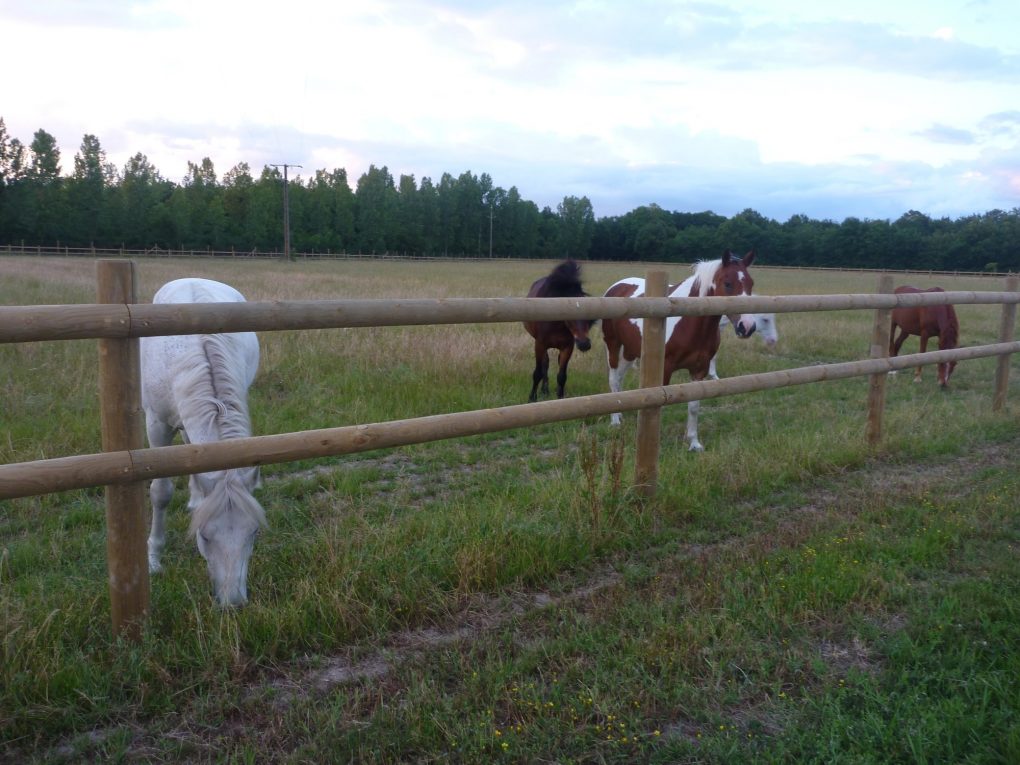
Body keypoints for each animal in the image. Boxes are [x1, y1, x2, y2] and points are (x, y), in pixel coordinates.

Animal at [141, 279, 265, 607]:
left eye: (254, 533)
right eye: (204, 536)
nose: (233, 602)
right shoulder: (157, 424)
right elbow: (160, 492)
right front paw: (153, 558)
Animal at [522, 259, 595, 401]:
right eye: (568, 311)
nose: (584, 344)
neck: (556, 324)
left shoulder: (568, 347)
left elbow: (562, 376)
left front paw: (560, 396)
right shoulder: (540, 344)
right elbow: (538, 372)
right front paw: (532, 398)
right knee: (545, 364)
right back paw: (544, 390)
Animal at [595, 248, 758, 452]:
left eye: (751, 284)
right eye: (728, 284)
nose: (747, 326)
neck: (689, 321)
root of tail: (616, 287)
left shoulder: (699, 369)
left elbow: (694, 406)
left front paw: (694, 443)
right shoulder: (665, 369)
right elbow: (659, 405)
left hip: (630, 351)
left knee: (619, 380)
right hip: (613, 345)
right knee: (613, 380)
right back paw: (615, 421)